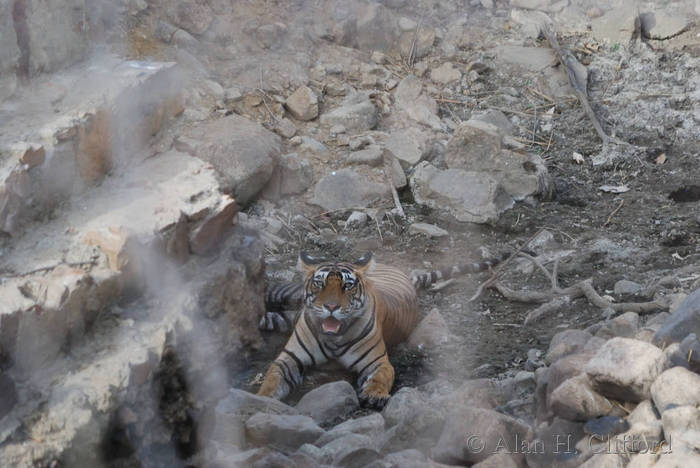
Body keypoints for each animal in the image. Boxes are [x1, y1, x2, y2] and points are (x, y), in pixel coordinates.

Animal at [254, 250, 506, 408]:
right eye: (320, 283)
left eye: (347, 286)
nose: (331, 307)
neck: (333, 338)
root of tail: (403, 274)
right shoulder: (288, 358)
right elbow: (272, 377)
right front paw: (263, 397)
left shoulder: (378, 362)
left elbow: (382, 377)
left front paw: (374, 394)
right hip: (289, 295)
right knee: (271, 295)